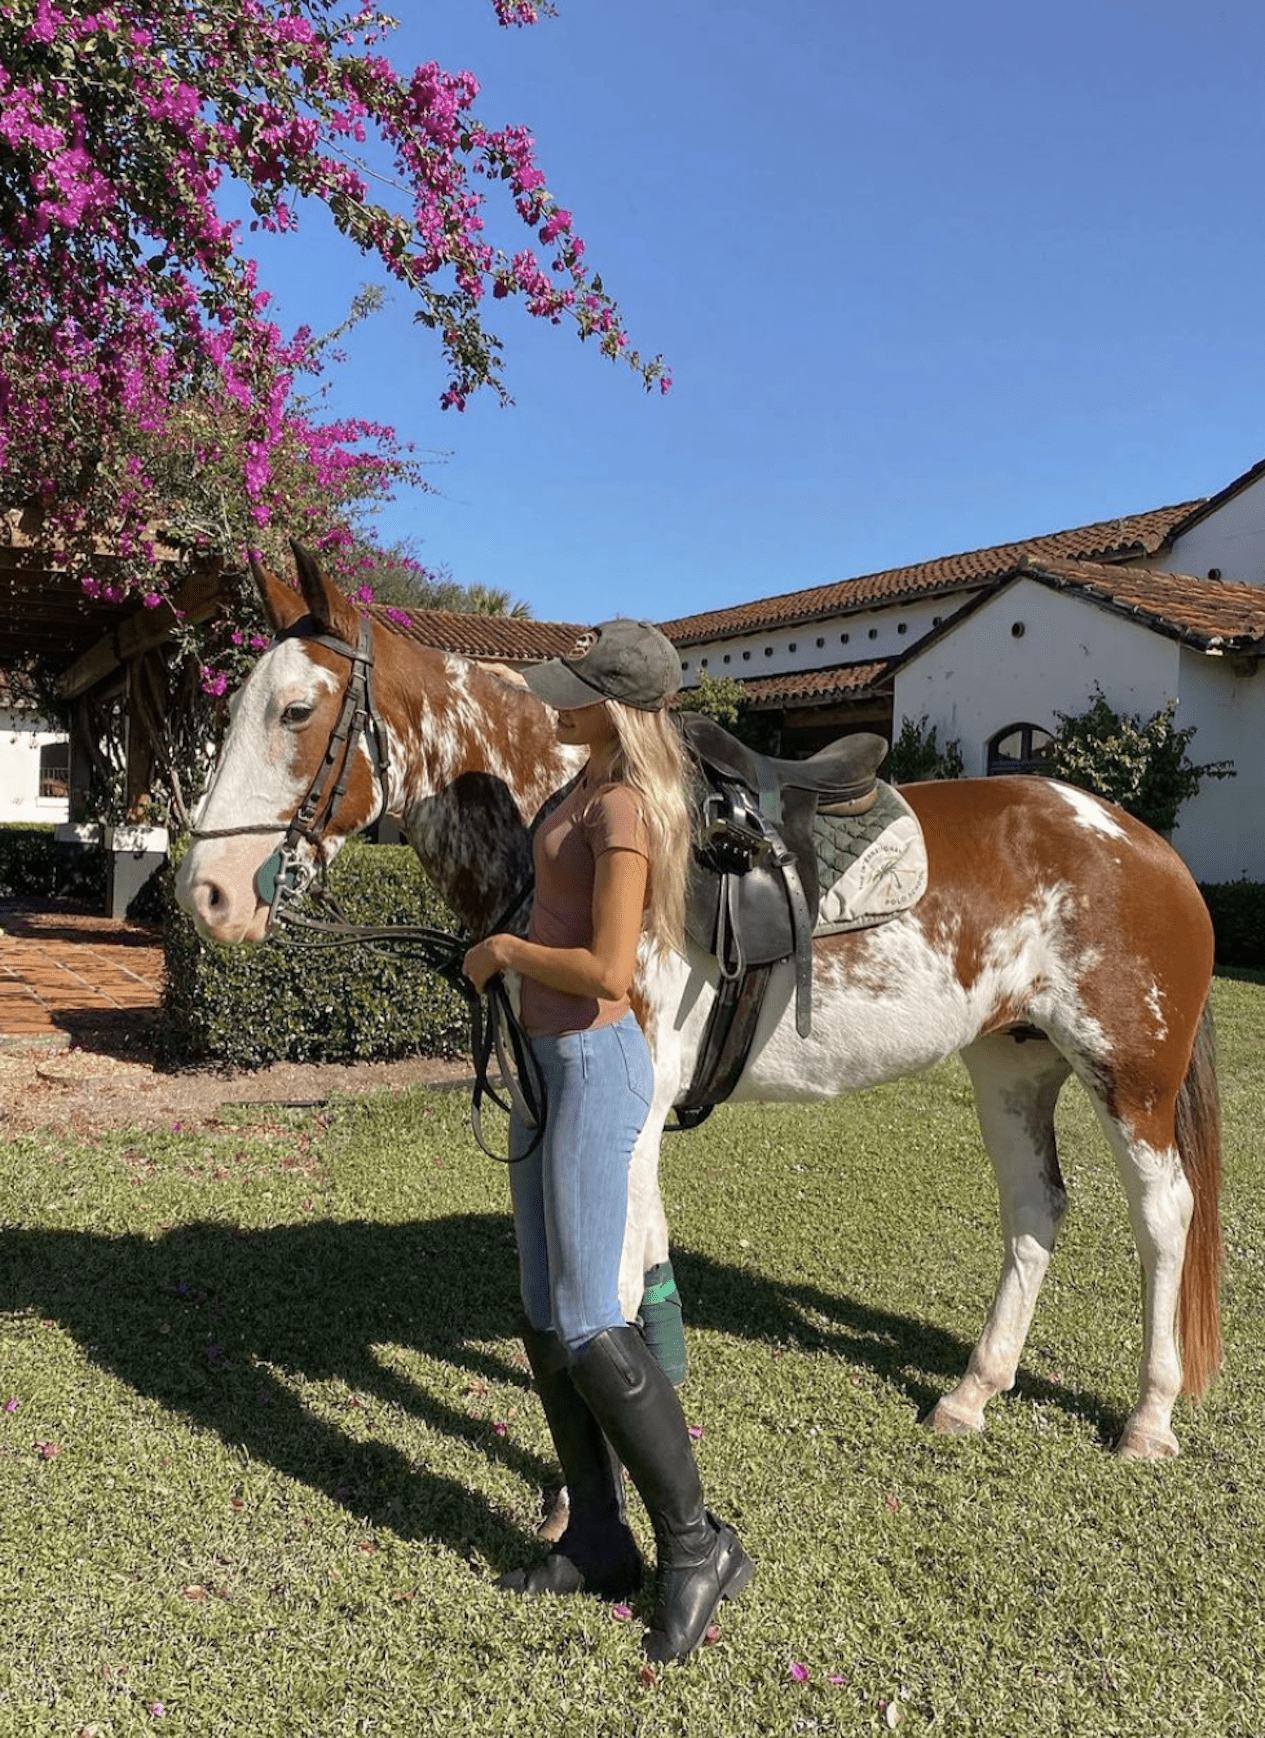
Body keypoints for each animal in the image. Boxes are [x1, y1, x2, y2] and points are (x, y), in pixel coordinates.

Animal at [172, 545, 1223, 1466]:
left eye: (296, 710)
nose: (206, 895)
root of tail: (1141, 841)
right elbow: (634, 1258)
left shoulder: (624, 1097)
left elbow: (615, 1268)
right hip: (1011, 1060)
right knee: (1033, 1209)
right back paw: (971, 1391)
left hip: (1129, 1073)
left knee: (1162, 1217)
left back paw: (1147, 1418)